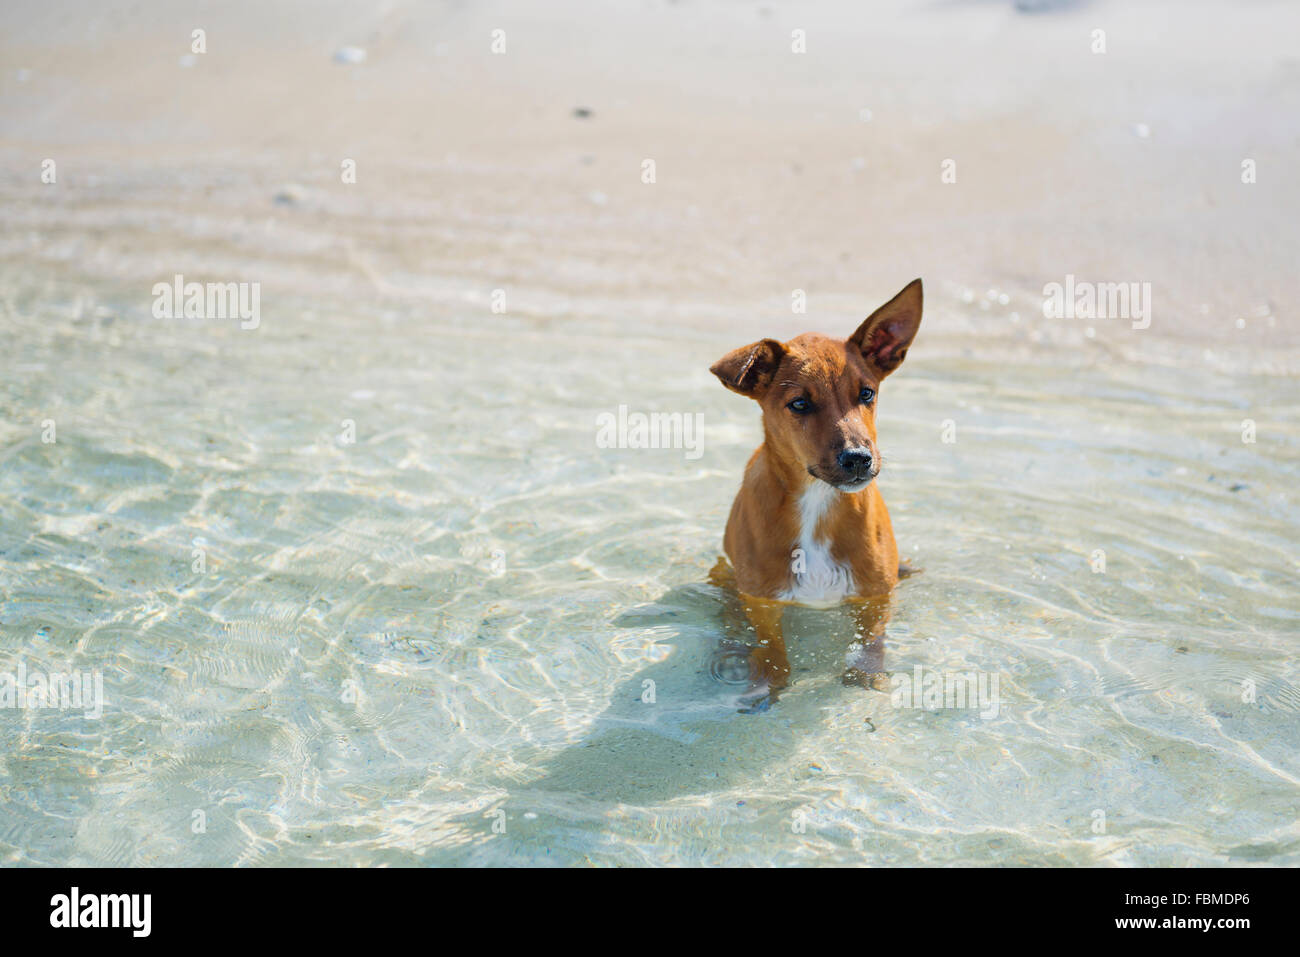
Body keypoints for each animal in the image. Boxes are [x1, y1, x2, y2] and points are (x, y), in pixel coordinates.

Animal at [712, 280, 925, 707]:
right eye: (799, 404)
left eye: (867, 394)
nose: (858, 458)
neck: (817, 501)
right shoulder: (761, 600)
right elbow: (771, 649)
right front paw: (765, 684)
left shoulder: (876, 596)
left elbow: (871, 642)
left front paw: (867, 676)